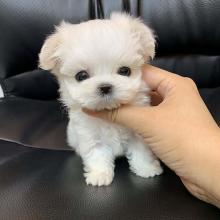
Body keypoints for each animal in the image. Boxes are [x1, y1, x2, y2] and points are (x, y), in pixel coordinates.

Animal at [39, 12, 163, 186]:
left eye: (125, 71)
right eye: (81, 76)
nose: (105, 87)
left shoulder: (138, 134)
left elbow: (141, 151)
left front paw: (147, 168)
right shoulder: (90, 136)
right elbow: (97, 155)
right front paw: (100, 175)